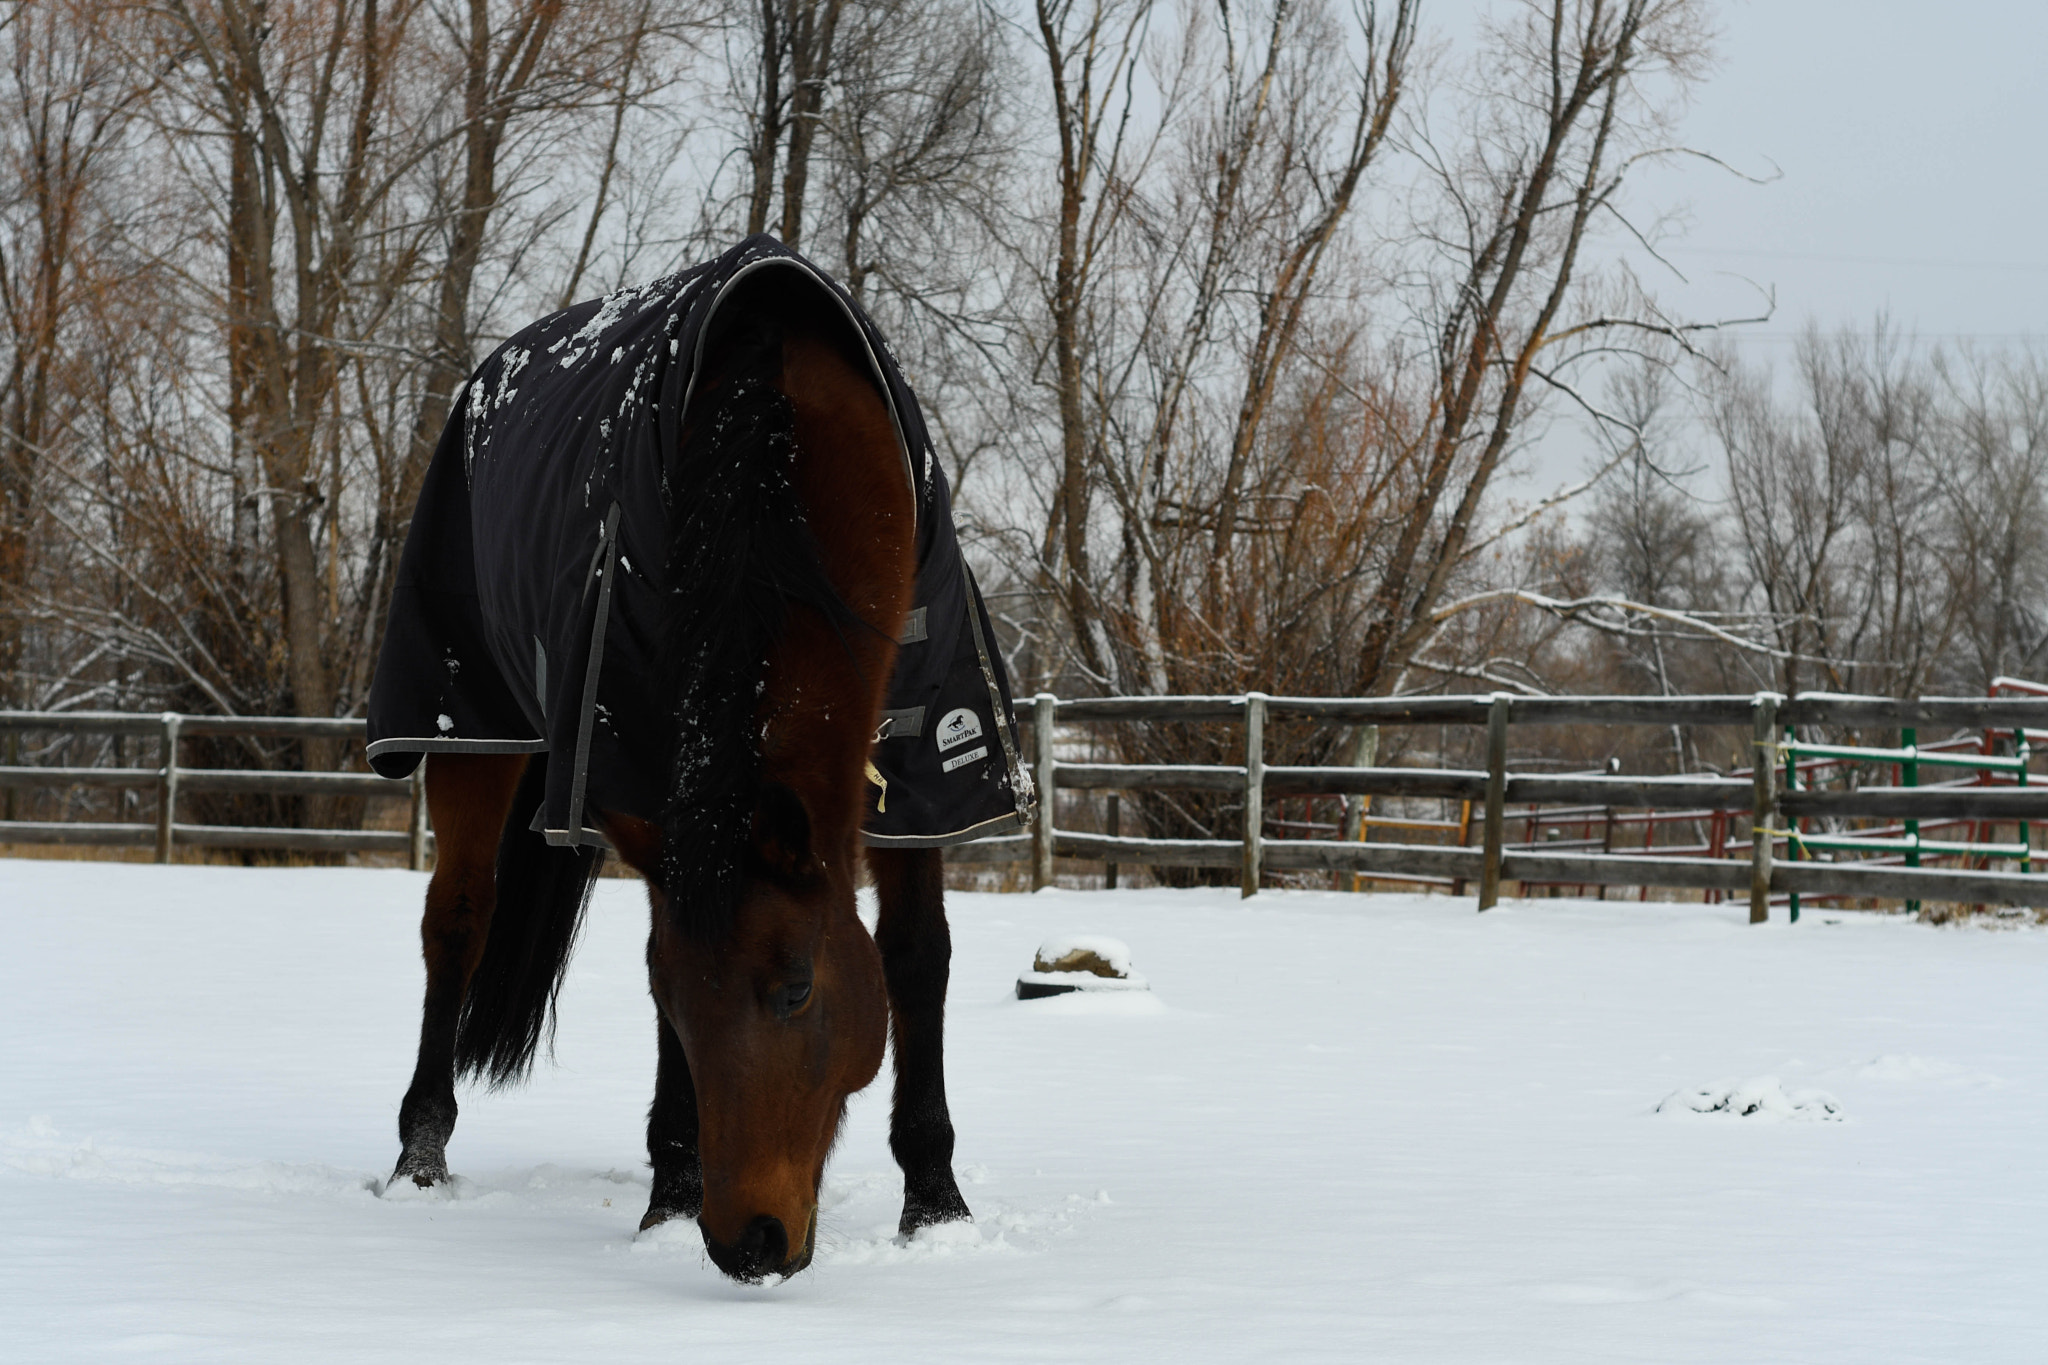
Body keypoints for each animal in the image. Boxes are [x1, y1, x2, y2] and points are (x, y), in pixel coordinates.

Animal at [364, 240, 1024, 1285]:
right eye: (672, 1000)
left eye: (796, 986)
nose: (747, 1244)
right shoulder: (642, 758)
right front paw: (669, 1194)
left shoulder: (926, 755)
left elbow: (920, 956)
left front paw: (936, 1206)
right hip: (469, 723)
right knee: (457, 922)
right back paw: (421, 1157)